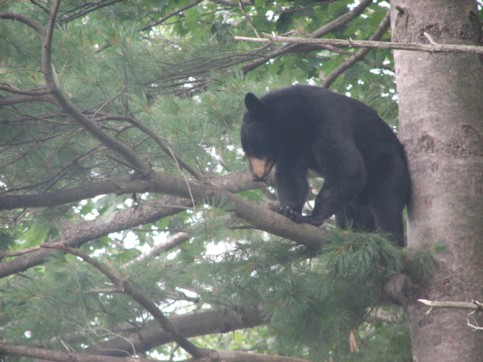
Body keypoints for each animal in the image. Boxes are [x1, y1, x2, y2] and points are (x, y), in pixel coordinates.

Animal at [242, 85, 412, 246]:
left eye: (251, 150)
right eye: (247, 151)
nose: (256, 176)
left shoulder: (327, 120)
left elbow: (348, 168)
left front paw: (311, 218)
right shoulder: (293, 148)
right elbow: (291, 177)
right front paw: (290, 211)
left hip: (389, 164)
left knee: (386, 199)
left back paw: (388, 238)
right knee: (351, 210)